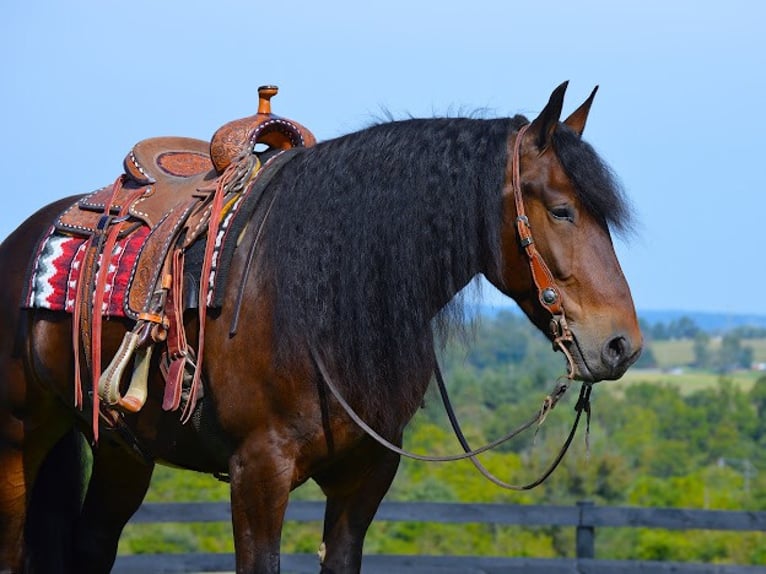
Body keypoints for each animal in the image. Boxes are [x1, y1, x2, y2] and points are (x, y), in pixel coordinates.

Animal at [0, 82, 640, 574]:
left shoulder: (365, 478)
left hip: (123, 450)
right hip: (19, 440)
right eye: (561, 210)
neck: (321, 300)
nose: (621, 345)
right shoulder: (258, 474)